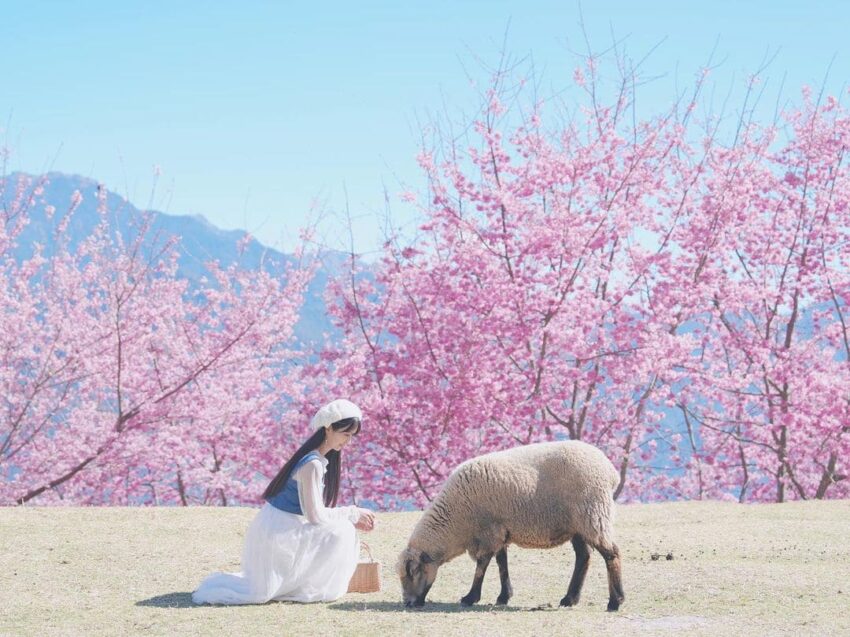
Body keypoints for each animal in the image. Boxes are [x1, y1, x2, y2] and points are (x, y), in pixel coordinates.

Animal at [396, 440, 624, 608]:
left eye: (412, 572)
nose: (408, 603)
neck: (457, 521)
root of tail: (610, 470)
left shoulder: (489, 532)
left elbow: (482, 566)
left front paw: (470, 597)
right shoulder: (499, 530)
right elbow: (501, 564)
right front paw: (503, 596)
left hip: (592, 514)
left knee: (611, 553)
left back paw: (616, 601)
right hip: (577, 523)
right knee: (583, 557)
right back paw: (570, 599)